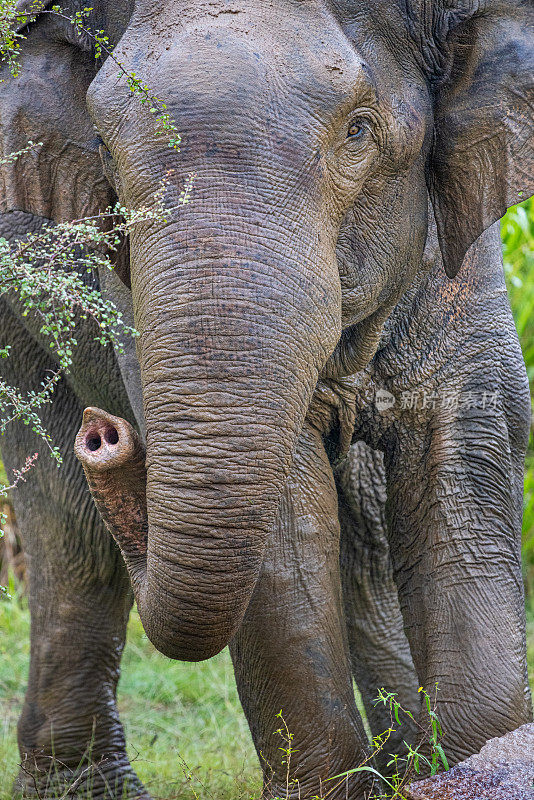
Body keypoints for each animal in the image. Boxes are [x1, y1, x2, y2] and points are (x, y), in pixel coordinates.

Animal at [0, 0, 532, 796]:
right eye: (103, 149)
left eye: (359, 130)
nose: (107, 435)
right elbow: (288, 513)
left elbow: (463, 463)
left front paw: (470, 757)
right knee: (70, 529)